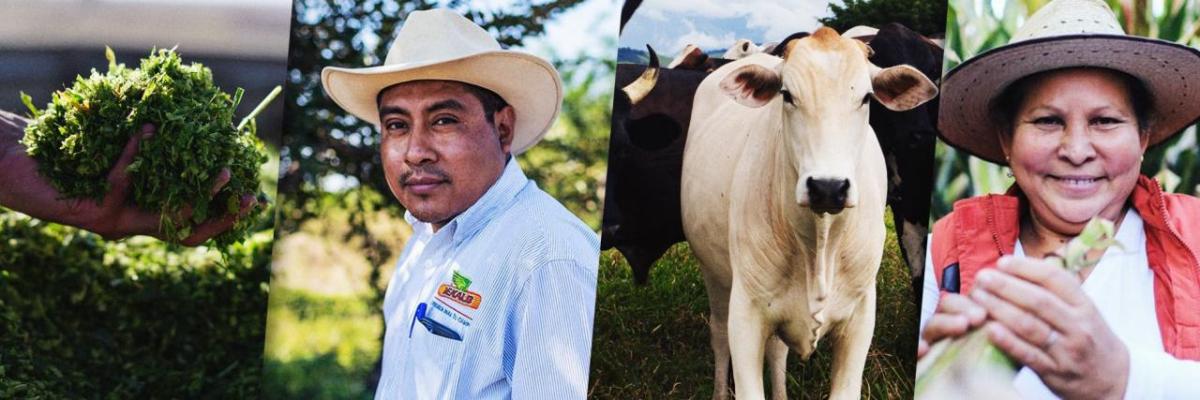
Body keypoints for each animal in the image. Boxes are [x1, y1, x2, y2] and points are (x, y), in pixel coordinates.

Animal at [681, 27, 940, 398]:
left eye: (867, 98)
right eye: (787, 95)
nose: (828, 187)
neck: (820, 242)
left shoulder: (860, 317)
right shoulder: (746, 316)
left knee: (776, 351)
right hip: (715, 277)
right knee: (719, 337)